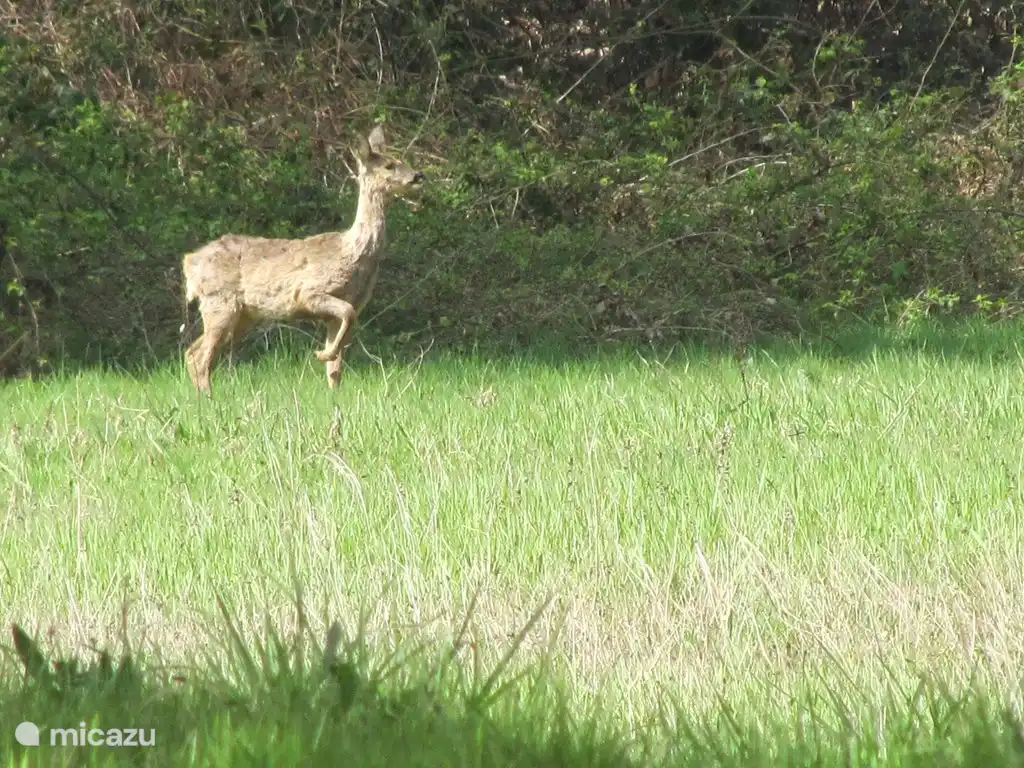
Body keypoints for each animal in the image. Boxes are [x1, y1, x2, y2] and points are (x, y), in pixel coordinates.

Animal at [180, 124, 424, 396]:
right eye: (389, 165)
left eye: (401, 160)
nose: (418, 176)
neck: (352, 252)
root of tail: (189, 262)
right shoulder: (310, 292)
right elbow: (347, 315)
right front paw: (322, 354)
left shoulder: (344, 308)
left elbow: (336, 366)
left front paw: (334, 394)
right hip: (220, 303)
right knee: (201, 356)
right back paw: (208, 400)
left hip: (242, 314)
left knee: (193, 352)